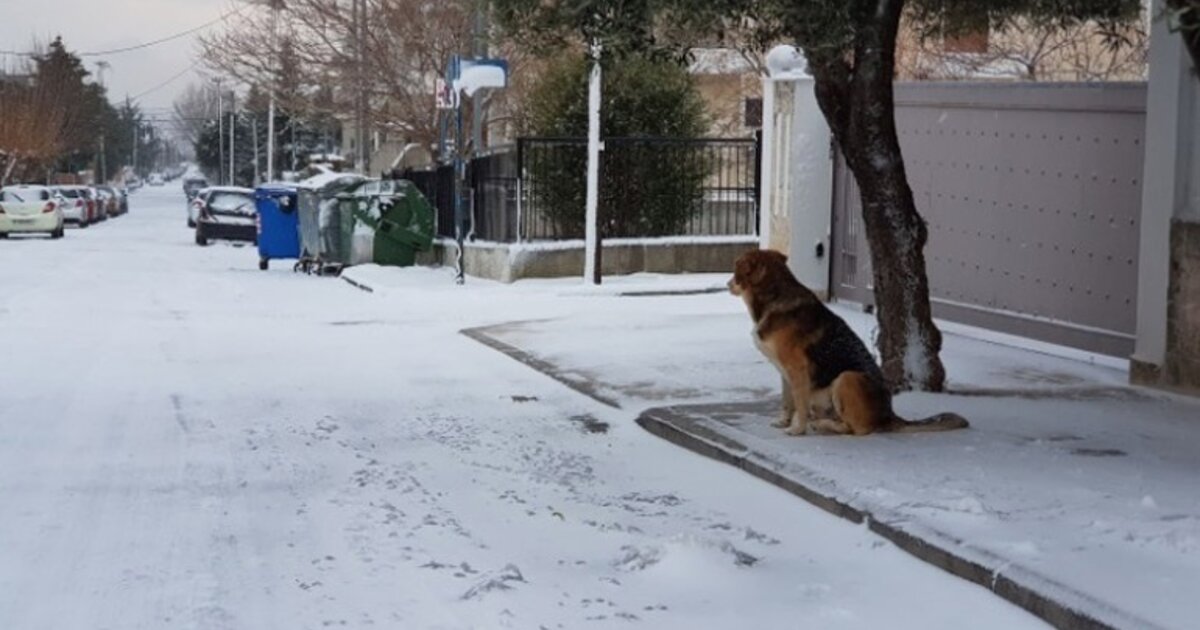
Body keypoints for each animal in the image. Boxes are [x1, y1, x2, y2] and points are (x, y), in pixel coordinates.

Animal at [729, 249, 968, 436]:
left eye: (736, 267)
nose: (727, 283)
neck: (773, 295)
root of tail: (889, 415)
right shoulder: (784, 371)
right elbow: (787, 400)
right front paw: (784, 422)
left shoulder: (797, 370)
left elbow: (800, 403)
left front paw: (797, 429)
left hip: (847, 378)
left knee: (856, 429)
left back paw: (822, 424)